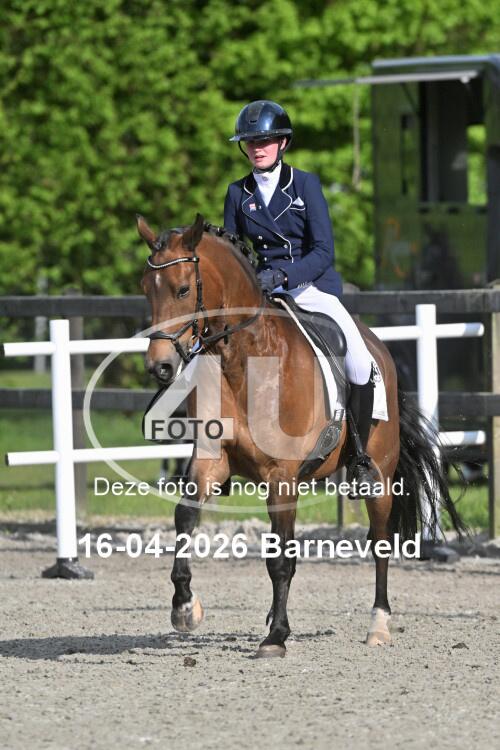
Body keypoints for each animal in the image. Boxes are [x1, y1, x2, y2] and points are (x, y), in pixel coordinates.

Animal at [137, 212, 465, 658]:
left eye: (183, 289)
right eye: (146, 290)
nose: (161, 367)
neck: (245, 361)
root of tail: (380, 348)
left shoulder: (282, 476)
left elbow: (280, 560)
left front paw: (276, 637)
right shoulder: (212, 461)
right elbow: (185, 517)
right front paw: (185, 608)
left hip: (379, 477)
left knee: (380, 541)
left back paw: (378, 625)